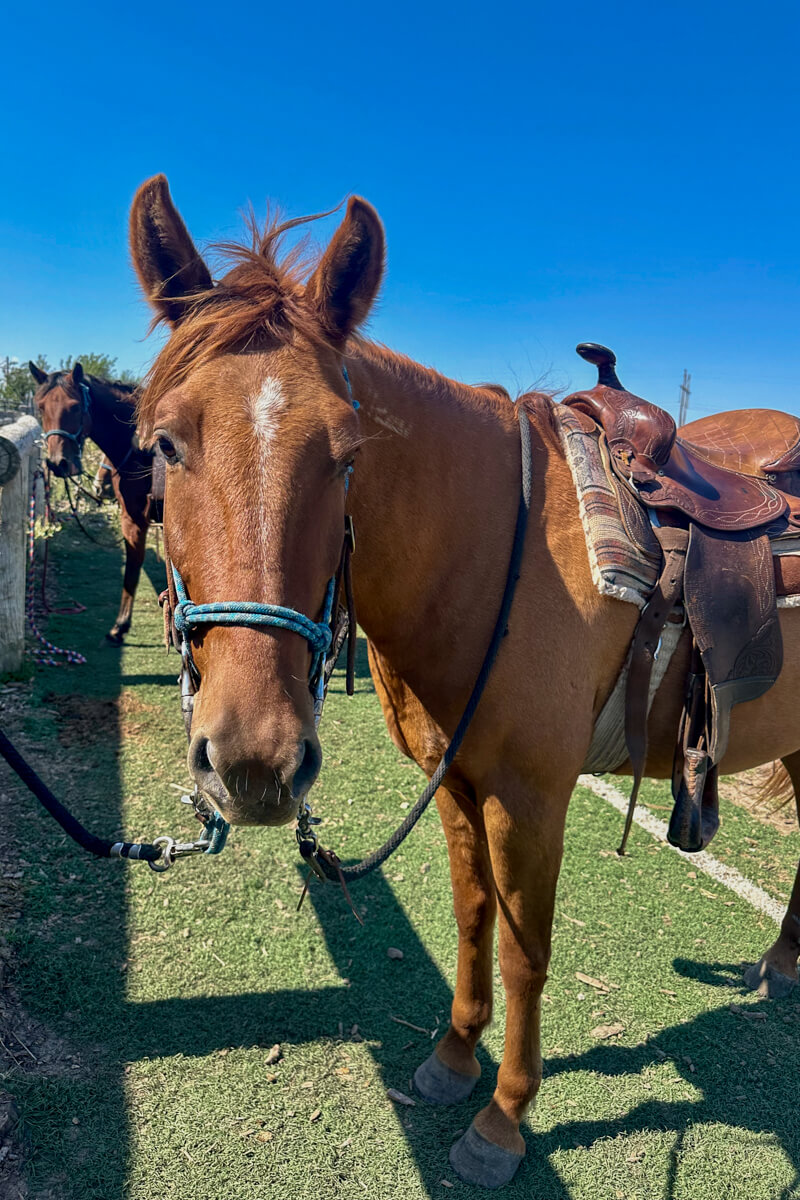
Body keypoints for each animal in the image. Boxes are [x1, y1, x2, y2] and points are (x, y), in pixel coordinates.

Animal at [29, 362, 157, 643]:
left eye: (76, 406)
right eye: (40, 407)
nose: (58, 463)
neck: (145, 455)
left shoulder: (140, 520)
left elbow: (136, 571)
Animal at [128, 174, 800, 1188]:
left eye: (348, 453)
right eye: (165, 443)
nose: (255, 762)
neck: (495, 553)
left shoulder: (530, 797)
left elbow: (526, 951)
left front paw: (504, 1119)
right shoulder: (456, 783)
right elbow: (473, 917)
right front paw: (453, 1059)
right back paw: (783, 964)